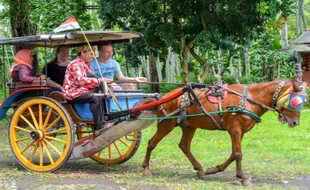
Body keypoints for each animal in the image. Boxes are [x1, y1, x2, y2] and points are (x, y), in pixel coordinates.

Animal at [142, 79, 306, 186]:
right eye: (295, 101)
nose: (295, 123)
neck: (250, 98)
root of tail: (164, 96)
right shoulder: (235, 129)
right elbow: (238, 154)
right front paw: (242, 177)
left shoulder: (239, 132)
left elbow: (234, 153)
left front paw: (214, 170)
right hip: (167, 123)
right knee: (152, 142)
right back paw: (146, 168)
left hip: (189, 126)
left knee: (184, 146)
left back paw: (200, 169)